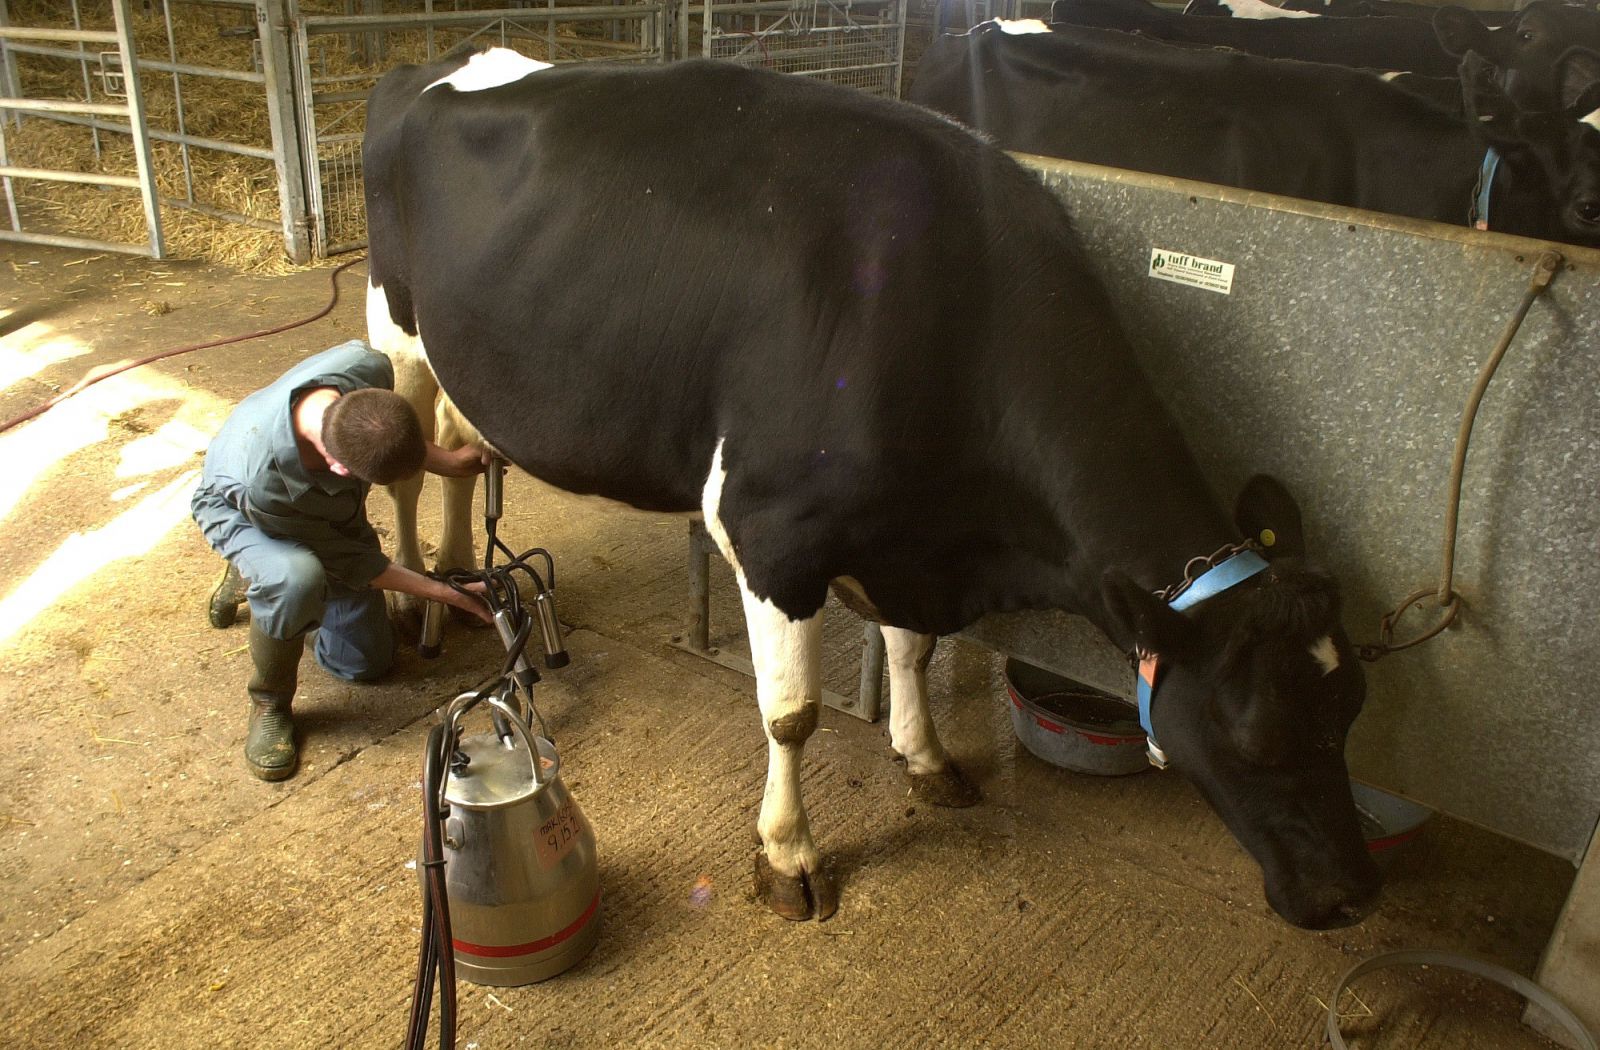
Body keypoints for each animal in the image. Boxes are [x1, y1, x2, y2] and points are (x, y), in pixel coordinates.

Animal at [368, 47, 1382, 928]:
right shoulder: (771, 530)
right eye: (1256, 735)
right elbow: (792, 716)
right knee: (406, 466)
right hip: (397, 337)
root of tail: (434, 65)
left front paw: (926, 756)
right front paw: (789, 856)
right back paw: (418, 602)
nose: (1350, 897)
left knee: (458, 450)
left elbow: (914, 651)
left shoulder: (910, 541)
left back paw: (459, 575)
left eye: (1351, 708)